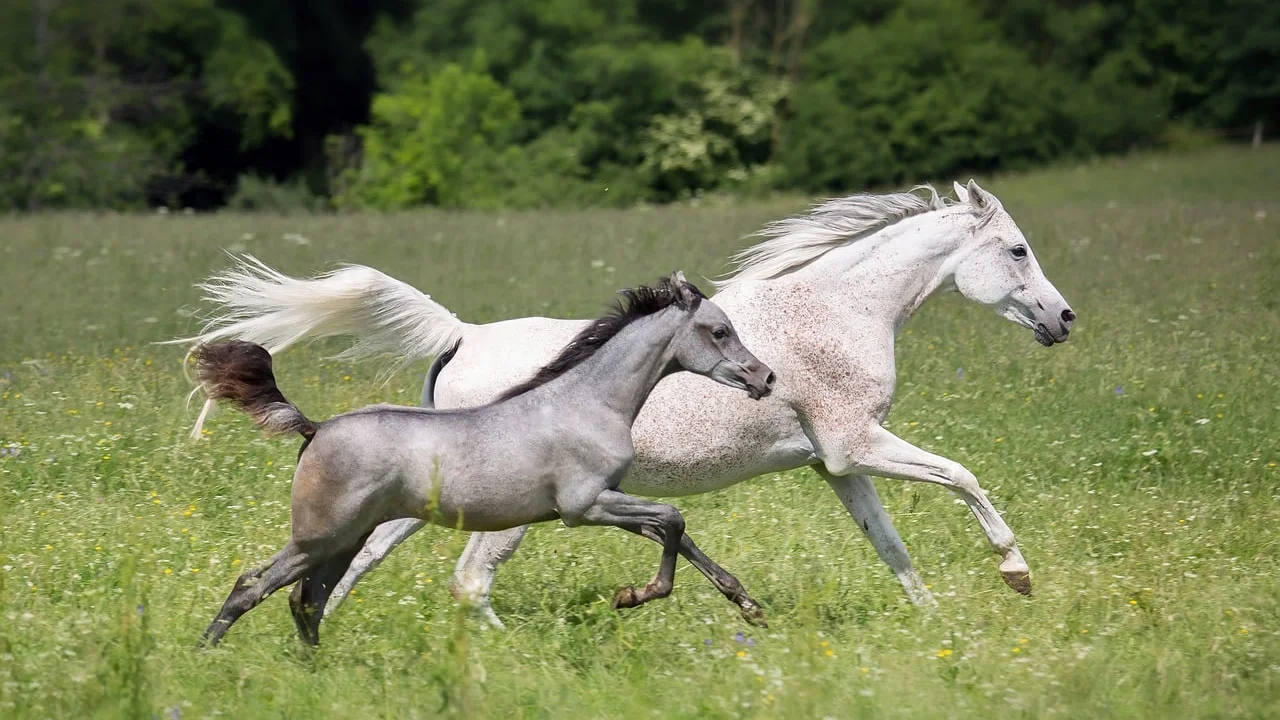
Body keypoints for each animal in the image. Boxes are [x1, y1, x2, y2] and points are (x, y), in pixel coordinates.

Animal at [192, 274, 775, 647]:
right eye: (720, 330)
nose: (765, 378)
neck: (587, 402)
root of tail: (315, 428)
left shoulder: (608, 501)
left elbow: (679, 534)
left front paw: (748, 606)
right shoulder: (585, 506)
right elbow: (674, 520)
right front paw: (634, 595)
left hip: (343, 541)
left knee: (306, 601)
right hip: (319, 537)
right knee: (252, 587)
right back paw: (205, 654)